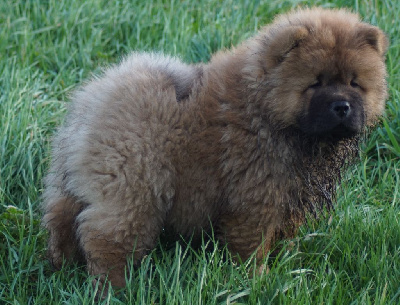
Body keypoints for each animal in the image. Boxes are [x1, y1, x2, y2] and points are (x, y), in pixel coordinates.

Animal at [43, 7, 388, 288]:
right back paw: (113, 288)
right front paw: (256, 280)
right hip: (134, 188)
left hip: (71, 182)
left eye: (355, 83)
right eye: (315, 83)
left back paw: (61, 266)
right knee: (107, 238)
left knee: (62, 218)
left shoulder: (289, 196)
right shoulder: (254, 199)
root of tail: (94, 100)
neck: (265, 109)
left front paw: (285, 263)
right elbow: (253, 245)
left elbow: (283, 236)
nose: (342, 106)